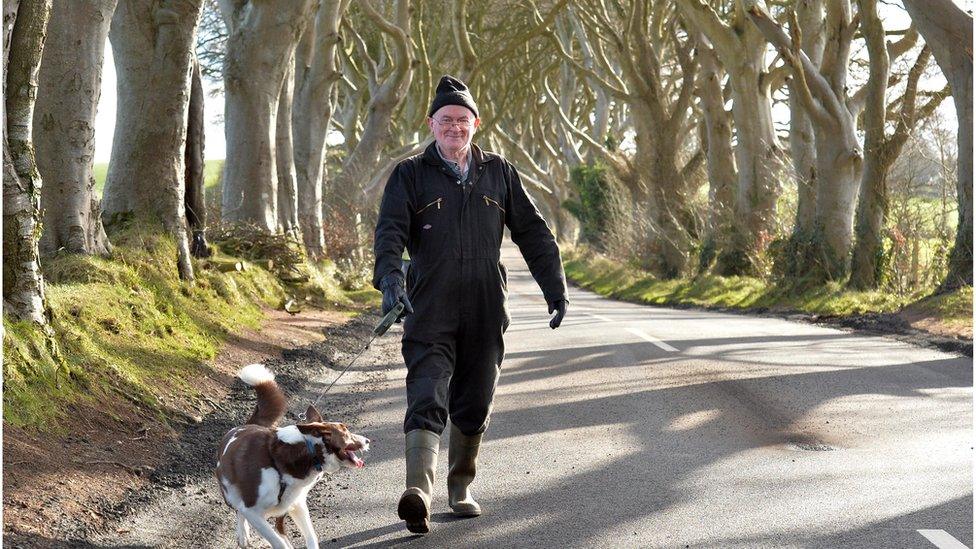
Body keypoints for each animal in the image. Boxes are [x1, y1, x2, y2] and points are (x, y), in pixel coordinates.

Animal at [217, 364, 370, 548]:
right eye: (345, 430)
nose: (368, 440)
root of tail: (245, 425)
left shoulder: (297, 504)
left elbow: (310, 537)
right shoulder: (252, 510)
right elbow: (276, 541)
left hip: (283, 507)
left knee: (278, 526)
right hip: (230, 493)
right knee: (238, 509)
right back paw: (243, 534)